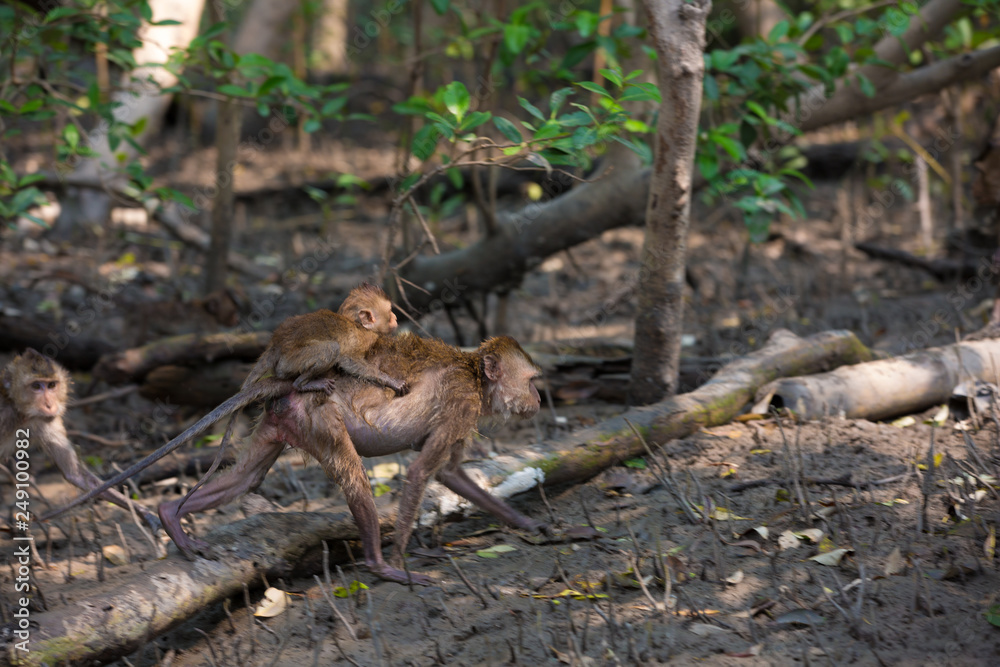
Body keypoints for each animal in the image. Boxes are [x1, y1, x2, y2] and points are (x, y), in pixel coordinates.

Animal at [1, 348, 161, 532]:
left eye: (51, 385)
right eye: (36, 386)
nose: (50, 405)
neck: (19, 412)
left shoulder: (45, 422)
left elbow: (75, 475)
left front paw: (144, 513)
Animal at [41, 283, 405, 522]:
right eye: (389, 315)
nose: (398, 322)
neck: (356, 324)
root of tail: (276, 344)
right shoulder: (360, 342)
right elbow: (351, 361)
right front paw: (390, 380)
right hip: (295, 360)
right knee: (323, 353)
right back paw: (306, 382)